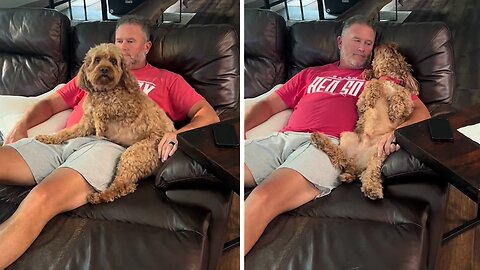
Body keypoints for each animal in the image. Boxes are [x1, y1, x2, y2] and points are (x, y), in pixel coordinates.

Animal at [36, 42, 176, 202]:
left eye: (114, 61)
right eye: (97, 60)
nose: (104, 69)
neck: (103, 91)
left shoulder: (126, 106)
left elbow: (103, 108)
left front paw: (100, 127)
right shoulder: (85, 125)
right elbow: (66, 132)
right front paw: (47, 138)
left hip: (136, 153)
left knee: (123, 186)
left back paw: (100, 196)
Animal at [314, 41, 418, 198]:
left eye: (396, 52)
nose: (386, 44)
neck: (388, 80)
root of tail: (355, 165)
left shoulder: (408, 106)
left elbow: (401, 96)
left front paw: (394, 110)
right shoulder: (362, 101)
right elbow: (373, 83)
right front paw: (373, 93)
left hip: (378, 155)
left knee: (369, 173)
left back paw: (372, 188)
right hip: (347, 136)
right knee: (339, 156)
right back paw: (319, 139)